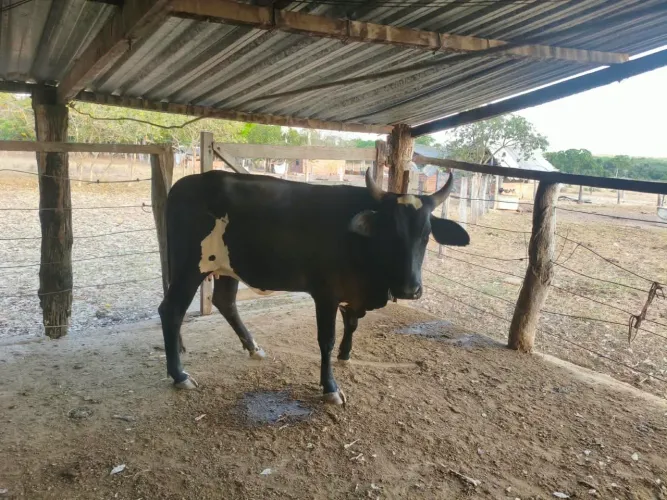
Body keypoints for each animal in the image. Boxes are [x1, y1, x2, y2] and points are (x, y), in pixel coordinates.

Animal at [158, 168, 470, 404]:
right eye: (391, 233)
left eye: (427, 235)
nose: (409, 289)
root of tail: (186, 183)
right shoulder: (326, 294)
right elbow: (326, 339)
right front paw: (330, 387)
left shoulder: (351, 293)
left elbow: (352, 324)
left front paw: (346, 354)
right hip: (189, 267)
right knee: (171, 310)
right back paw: (179, 375)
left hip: (227, 268)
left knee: (225, 301)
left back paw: (253, 348)